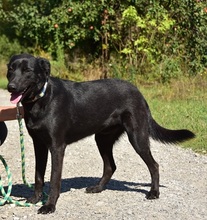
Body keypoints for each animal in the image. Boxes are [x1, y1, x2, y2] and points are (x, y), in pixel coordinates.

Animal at [6, 53, 194, 215]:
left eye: (27, 70)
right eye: (11, 69)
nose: (10, 87)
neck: (41, 99)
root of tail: (139, 93)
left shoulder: (57, 147)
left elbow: (54, 179)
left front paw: (49, 205)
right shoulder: (39, 145)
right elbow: (38, 176)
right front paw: (36, 198)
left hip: (137, 137)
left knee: (154, 165)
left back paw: (154, 192)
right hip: (102, 139)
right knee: (111, 166)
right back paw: (98, 188)